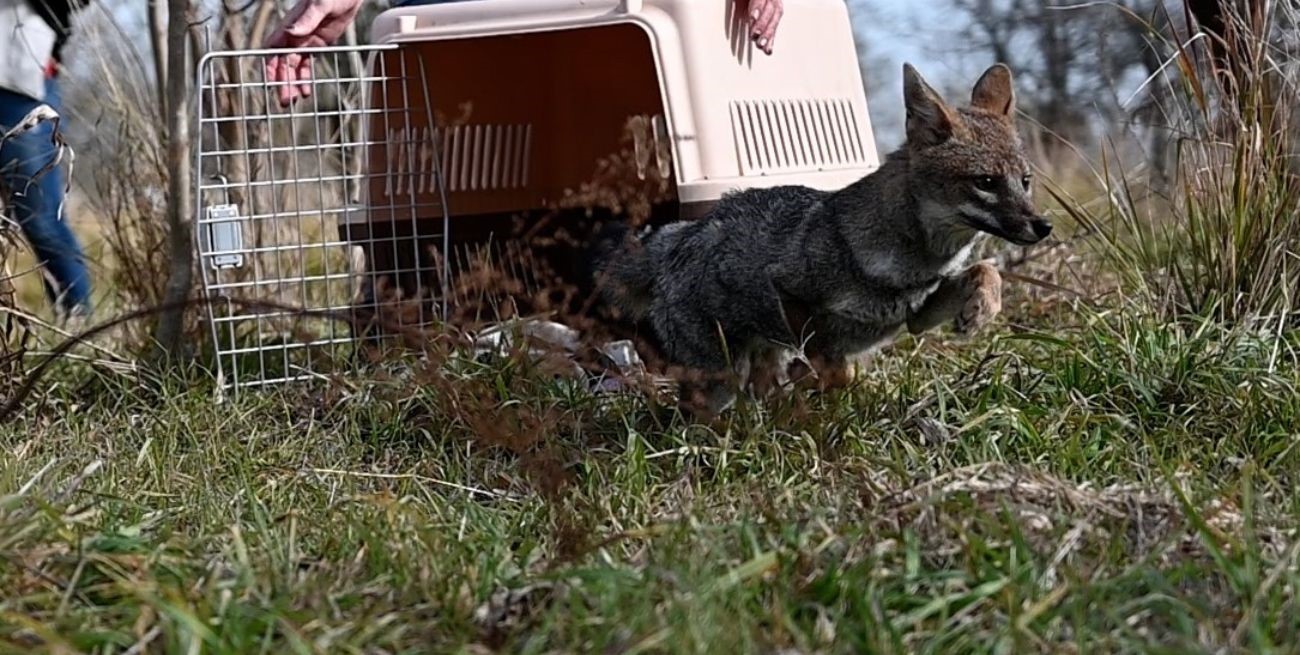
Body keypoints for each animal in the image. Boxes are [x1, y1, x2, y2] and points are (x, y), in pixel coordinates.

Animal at [591, 62, 1052, 416]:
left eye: (1025, 181)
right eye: (986, 183)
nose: (1043, 226)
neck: (913, 261)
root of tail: (677, 236)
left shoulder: (916, 317)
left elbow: (986, 269)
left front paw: (981, 310)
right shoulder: (790, 292)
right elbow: (836, 368)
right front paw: (813, 377)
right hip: (719, 376)